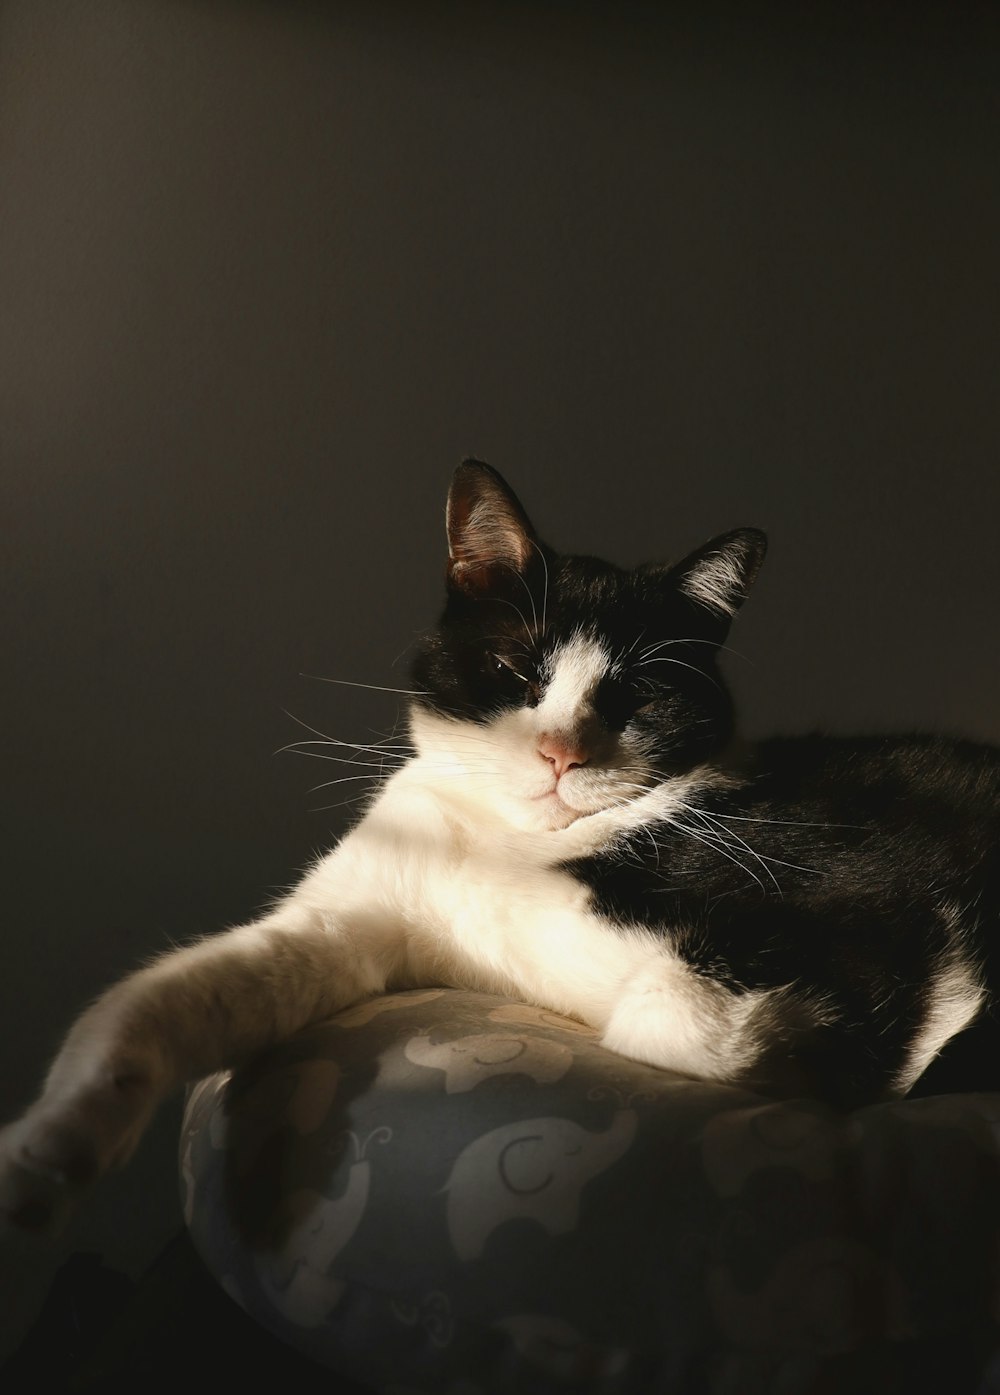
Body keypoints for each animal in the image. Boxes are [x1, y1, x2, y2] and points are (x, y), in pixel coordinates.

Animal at [1, 460, 998, 1233]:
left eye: (636, 696)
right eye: (518, 670)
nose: (561, 753)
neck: (515, 847)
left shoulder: (872, 917)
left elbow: (676, 1025)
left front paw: (817, 1058)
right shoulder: (350, 914)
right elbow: (173, 992)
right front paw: (50, 1147)